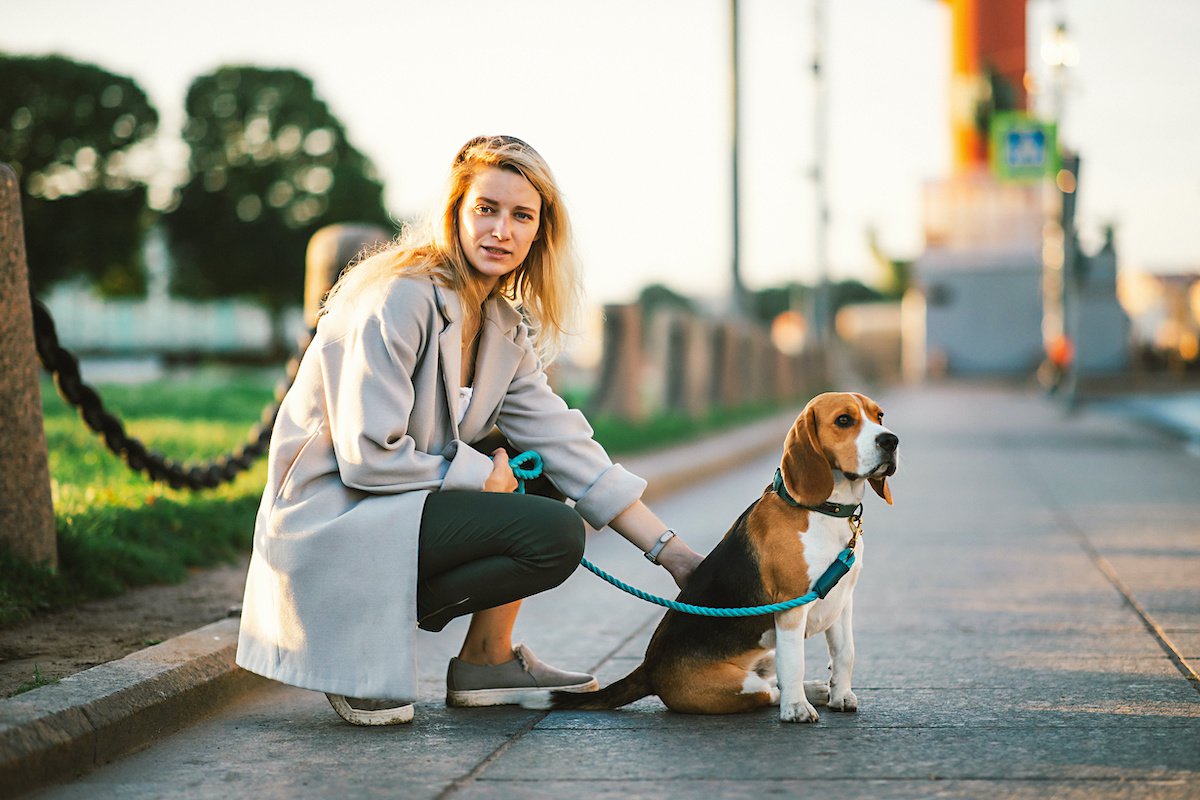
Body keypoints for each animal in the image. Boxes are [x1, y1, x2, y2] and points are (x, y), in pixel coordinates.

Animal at [549, 391, 897, 724]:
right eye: (843, 420)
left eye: (879, 415)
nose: (890, 440)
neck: (826, 511)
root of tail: (648, 668)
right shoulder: (791, 606)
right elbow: (793, 664)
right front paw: (796, 709)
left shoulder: (841, 600)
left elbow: (845, 652)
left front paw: (841, 696)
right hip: (739, 684)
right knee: (770, 690)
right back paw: (803, 694)